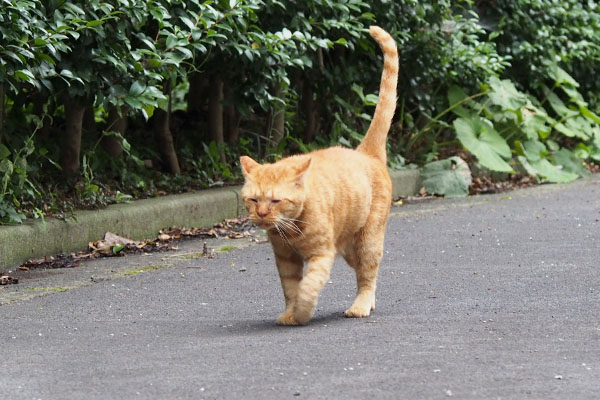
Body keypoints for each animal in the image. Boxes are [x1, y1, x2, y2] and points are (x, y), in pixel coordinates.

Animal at [239, 25, 398, 324]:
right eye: (253, 200)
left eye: (275, 201)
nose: (262, 214)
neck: (290, 231)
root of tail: (365, 152)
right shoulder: (285, 260)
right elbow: (291, 288)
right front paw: (290, 313)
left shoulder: (322, 254)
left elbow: (308, 286)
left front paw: (301, 312)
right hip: (349, 248)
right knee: (365, 274)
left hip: (367, 241)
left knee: (368, 275)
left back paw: (361, 306)